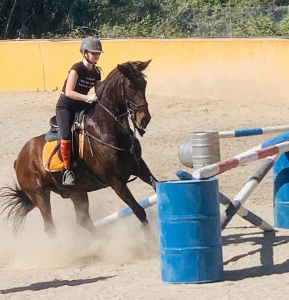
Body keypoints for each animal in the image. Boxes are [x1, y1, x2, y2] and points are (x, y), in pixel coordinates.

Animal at [0, 59, 158, 238]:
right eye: (130, 85)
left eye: (144, 84)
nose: (144, 119)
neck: (106, 129)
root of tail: (18, 159)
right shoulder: (116, 181)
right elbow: (139, 210)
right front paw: (150, 239)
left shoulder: (140, 167)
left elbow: (157, 186)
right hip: (39, 194)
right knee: (50, 227)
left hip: (77, 192)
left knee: (83, 220)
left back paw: (104, 241)